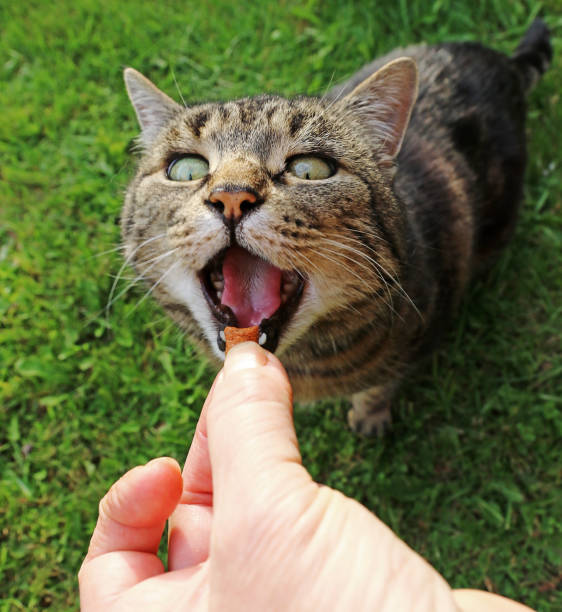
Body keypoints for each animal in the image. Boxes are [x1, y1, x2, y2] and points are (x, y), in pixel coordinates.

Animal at [121, 20, 548, 436]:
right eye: (185, 169)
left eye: (310, 169)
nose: (232, 197)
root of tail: (503, 62)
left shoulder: (415, 342)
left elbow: (380, 386)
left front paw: (370, 417)